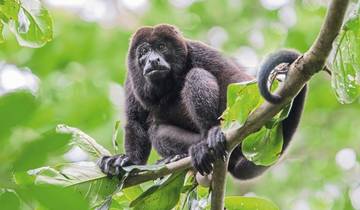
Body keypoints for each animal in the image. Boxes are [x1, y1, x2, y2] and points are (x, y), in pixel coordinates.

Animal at [99, 24, 306, 179]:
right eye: (144, 51)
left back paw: (210, 136)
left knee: (197, 75)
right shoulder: (131, 79)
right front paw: (127, 161)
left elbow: (234, 79)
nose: (153, 60)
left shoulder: (198, 51)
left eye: (162, 47)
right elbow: (136, 121)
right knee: (157, 130)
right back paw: (182, 155)